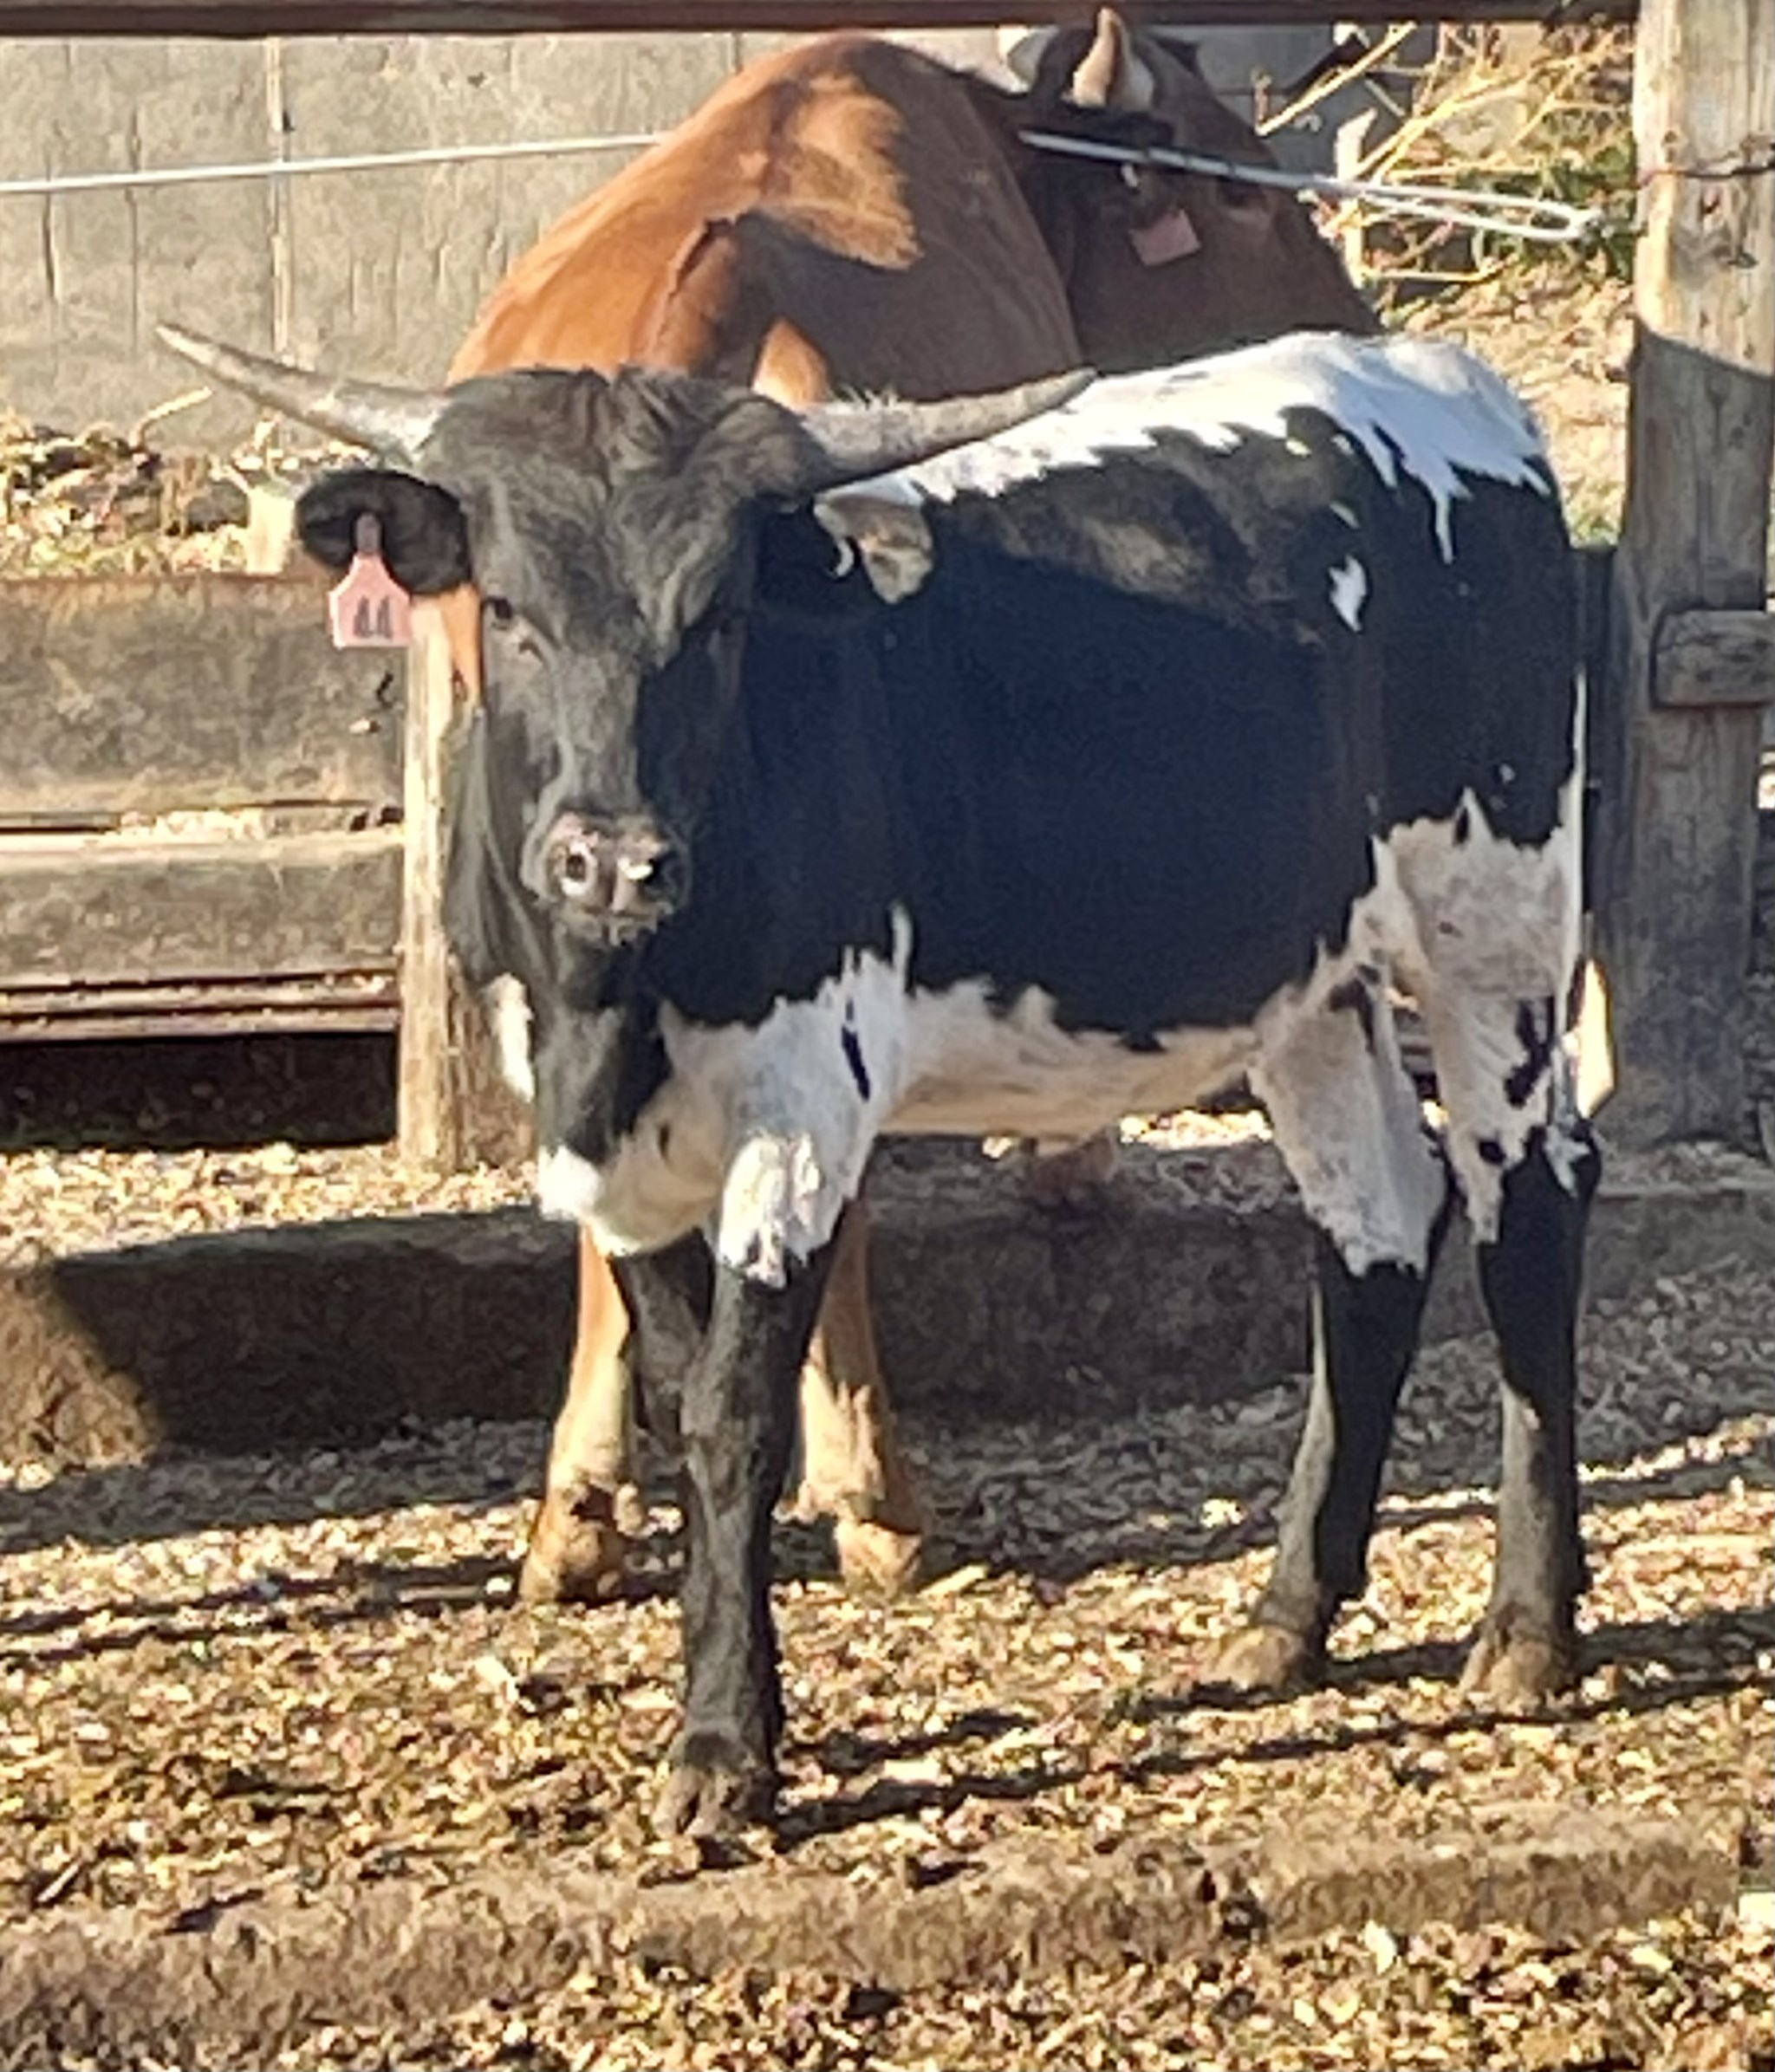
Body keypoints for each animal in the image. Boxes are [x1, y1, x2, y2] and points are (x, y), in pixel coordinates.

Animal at [160, 317, 1599, 1842]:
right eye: (506, 607)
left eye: (719, 616)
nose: (612, 858)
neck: (612, 1002)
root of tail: (1444, 381)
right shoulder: (608, 1156)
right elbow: (678, 1393)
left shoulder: (798, 1117)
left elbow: (735, 1418)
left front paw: (725, 1747)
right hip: (1313, 982)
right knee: (1375, 1225)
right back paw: (1288, 1618)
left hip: (1493, 925)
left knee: (1528, 1212)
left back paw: (1528, 1629)